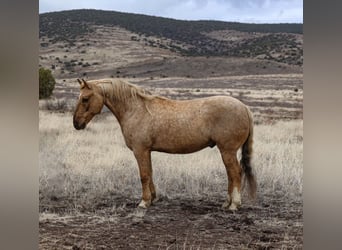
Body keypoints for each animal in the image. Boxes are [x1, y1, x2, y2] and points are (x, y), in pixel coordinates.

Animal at [73, 78, 258, 211]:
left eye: (85, 99)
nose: (76, 124)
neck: (136, 109)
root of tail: (244, 107)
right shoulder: (147, 151)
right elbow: (150, 173)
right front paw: (153, 199)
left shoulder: (140, 150)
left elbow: (143, 175)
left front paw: (144, 202)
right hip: (227, 152)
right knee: (231, 175)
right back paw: (226, 203)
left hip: (227, 151)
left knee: (235, 173)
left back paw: (234, 205)